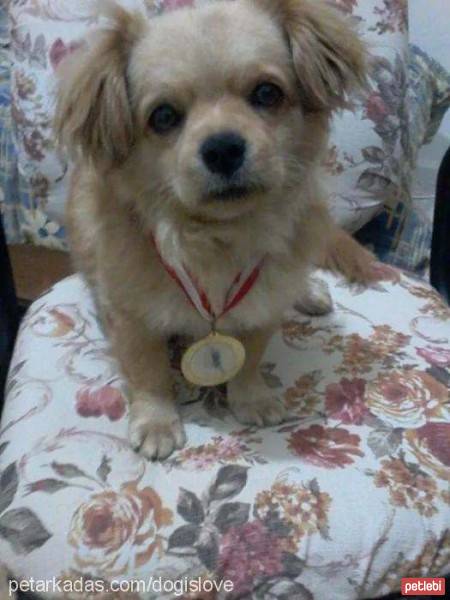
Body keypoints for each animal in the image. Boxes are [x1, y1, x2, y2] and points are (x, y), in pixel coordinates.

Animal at [54, 0, 374, 462]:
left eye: (266, 93)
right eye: (163, 116)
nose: (223, 148)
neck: (218, 239)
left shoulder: (262, 303)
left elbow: (252, 354)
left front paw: (251, 396)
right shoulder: (131, 316)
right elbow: (148, 372)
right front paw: (156, 421)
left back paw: (309, 291)